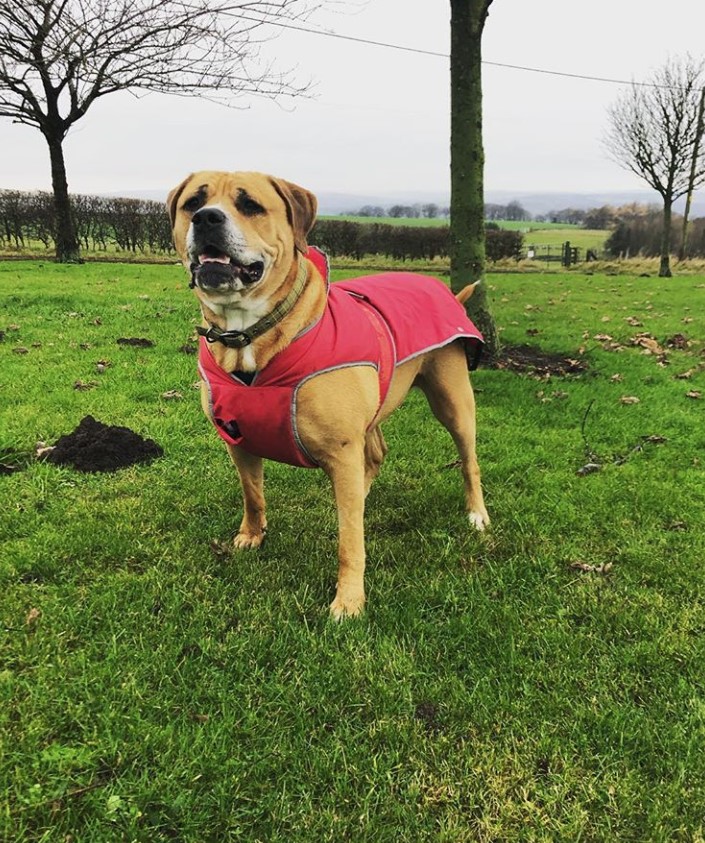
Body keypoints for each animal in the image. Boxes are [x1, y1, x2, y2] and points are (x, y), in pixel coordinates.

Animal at [168, 171, 490, 620]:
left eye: (250, 205)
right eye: (192, 203)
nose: (207, 218)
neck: (248, 334)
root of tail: (447, 292)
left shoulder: (341, 448)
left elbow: (349, 540)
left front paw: (349, 600)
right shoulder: (238, 440)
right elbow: (253, 494)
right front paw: (252, 535)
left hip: (453, 398)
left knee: (467, 459)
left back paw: (476, 514)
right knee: (375, 453)